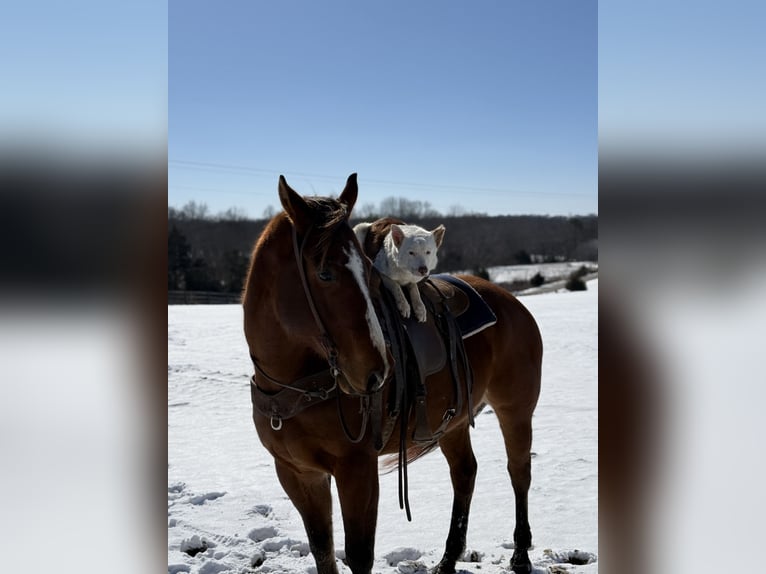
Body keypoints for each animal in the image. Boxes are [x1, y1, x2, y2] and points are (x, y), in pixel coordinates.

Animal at [243, 176, 544, 574]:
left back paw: (521, 554)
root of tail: (513, 303)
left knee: (519, 471)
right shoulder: (297, 474)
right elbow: (322, 549)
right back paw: (448, 558)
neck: (296, 384)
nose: (375, 373)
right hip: (452, 422)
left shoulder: (357, 470)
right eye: (324, 273)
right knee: (465, 473)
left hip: (515, 410)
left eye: (370, 274)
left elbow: (359, 555)